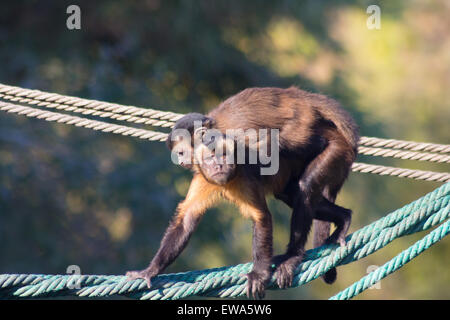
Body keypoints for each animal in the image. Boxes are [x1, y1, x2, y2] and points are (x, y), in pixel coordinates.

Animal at [126, 86, 358, 298]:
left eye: (222, 155)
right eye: (210, 159)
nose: (218, 166)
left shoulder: (244, 162)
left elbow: (260, 217)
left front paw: (259, 274)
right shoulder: (202, 178)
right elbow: (187, 219)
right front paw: (150, 270)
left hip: (334, 148)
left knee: (305, 181)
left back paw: (292, 255)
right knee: (292, 193)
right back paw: (343, 218)